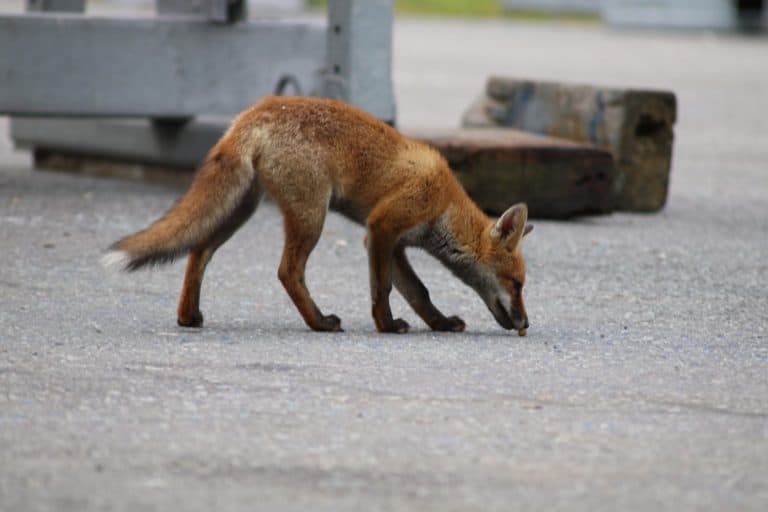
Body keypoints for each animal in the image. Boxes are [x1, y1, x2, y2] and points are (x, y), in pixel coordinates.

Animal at [102, 96, 533, 335]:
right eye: (517, 284)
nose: (526, 324)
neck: (444, 205)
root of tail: (256, 110)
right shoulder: (383, 226)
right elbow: (383, 289)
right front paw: (386, 326)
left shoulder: (391, 242)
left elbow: (418, 292)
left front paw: (439, 324)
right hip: (311, 215)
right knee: (287, 271)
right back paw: (319, 322)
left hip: (242, 208)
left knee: (198, 251)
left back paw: (188, 316)